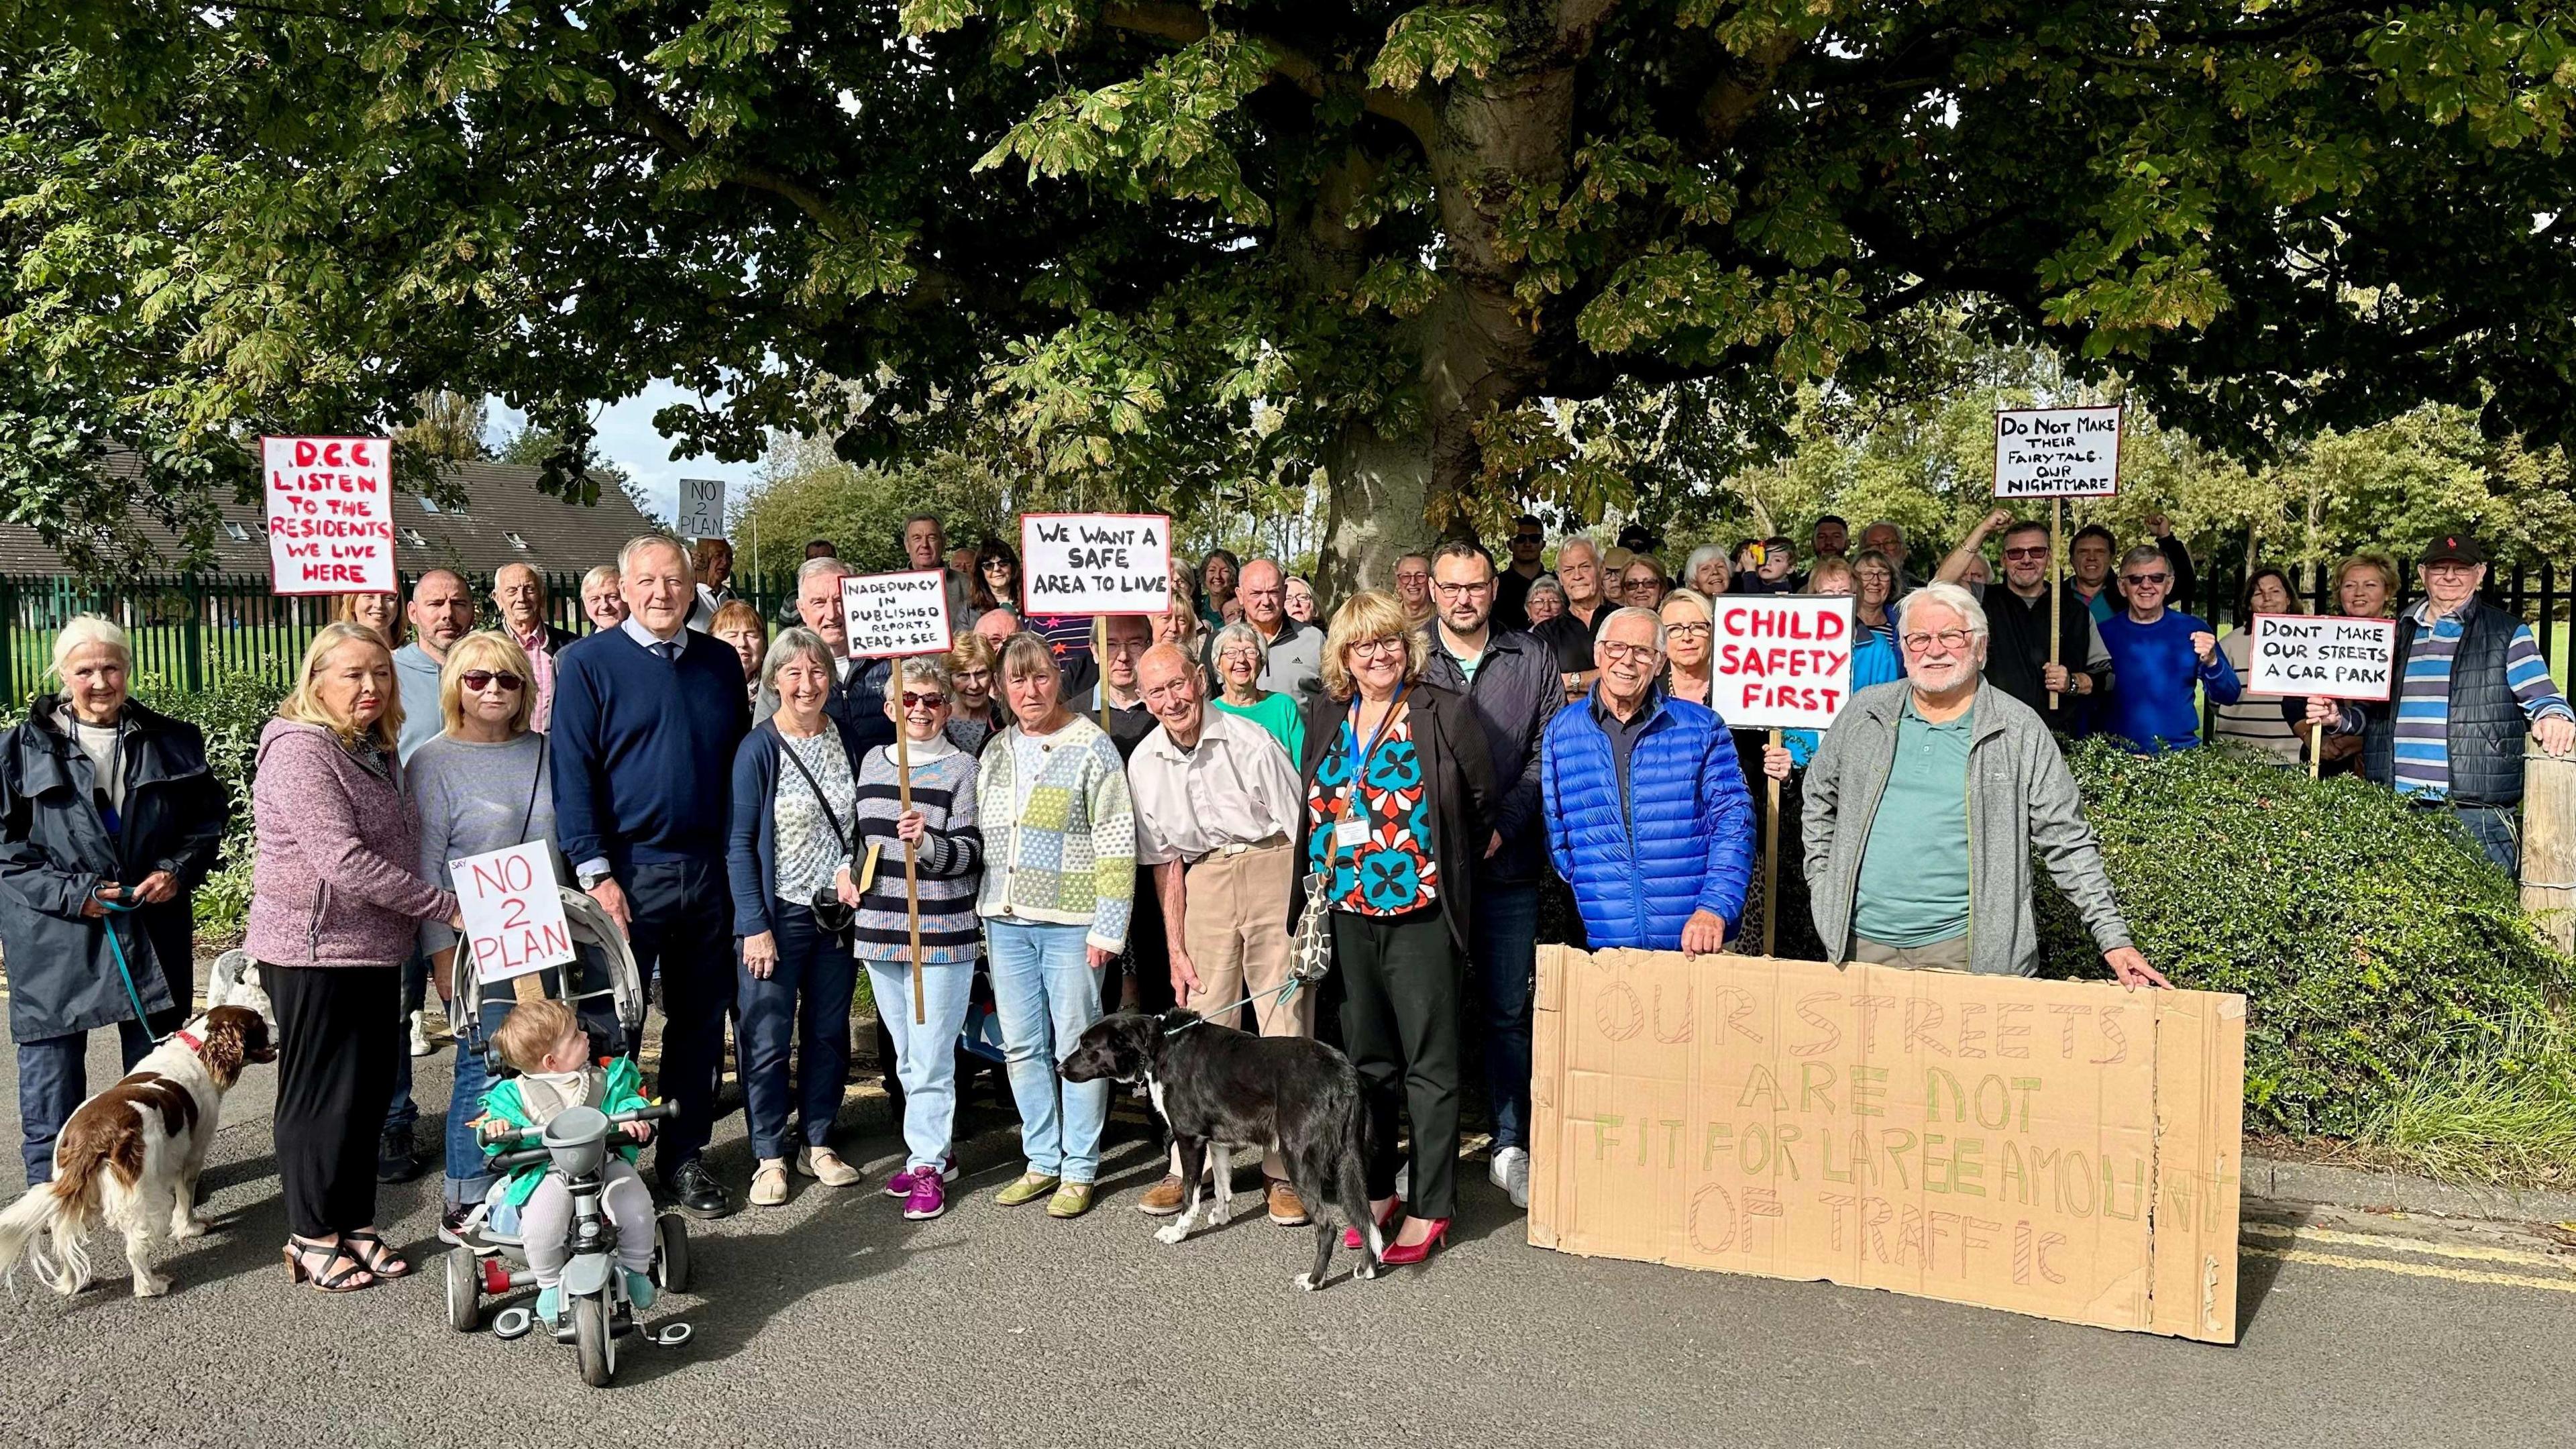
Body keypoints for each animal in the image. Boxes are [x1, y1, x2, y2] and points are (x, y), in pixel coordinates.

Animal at [0, 989, 274, 1299]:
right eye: (259, 1023)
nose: (276, 1031)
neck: (197, 1051)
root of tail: (94, 1135)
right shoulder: (192, 1155)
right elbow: (186, 1198)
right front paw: (191, 1228)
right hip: (143, 1194)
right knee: (135, 1249)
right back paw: (151, 1286)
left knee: (63, 1239)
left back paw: (72, 1284)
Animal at [1056, 1005, 1381, 1284]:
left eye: (1087, 1047)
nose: (1059, 1069)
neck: (1161, 1045)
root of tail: (1343, 1073)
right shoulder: (1217, 1142)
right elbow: (1224, 1187)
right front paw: (1223, 1217)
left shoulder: (1189, 1139)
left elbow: (1190, 1197)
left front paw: (1178, 1233)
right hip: (1351, 1161)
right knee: (1365, 1217)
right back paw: (1367, 1268)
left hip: (1299, 1161)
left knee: (1328, 1227)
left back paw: (1315, 1280)